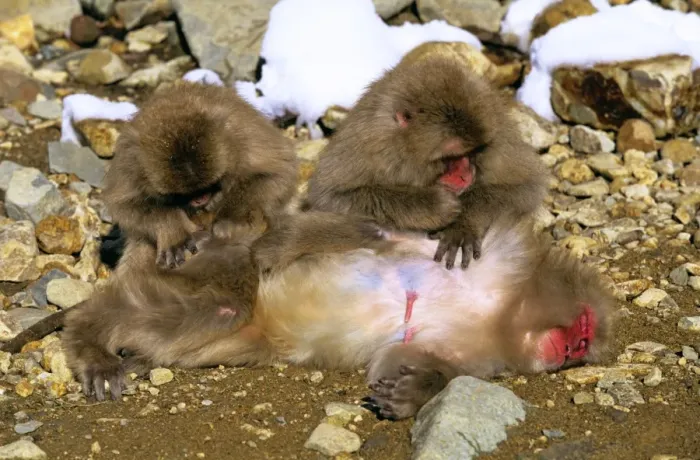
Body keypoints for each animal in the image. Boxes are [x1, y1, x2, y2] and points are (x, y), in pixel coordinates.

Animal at [61, 212, 614, 420]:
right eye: (583, 333)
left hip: (240, 334)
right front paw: (279, 245)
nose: (569, 351)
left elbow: (408, 357)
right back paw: (90, 343)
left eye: (582, 347)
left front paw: (410, 391)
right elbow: (380, 235)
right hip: (209, 269)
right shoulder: (499, 252)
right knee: (206, 300)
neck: (501, 307)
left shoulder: (480, 353)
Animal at [102, 81, 299, 269]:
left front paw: (228, 221)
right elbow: (125, 206)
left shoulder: (241, 134)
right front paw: (175, 234)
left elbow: (279, 172)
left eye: (210, 185)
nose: (200, 199)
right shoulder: (131, 162)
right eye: (181, 195)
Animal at [304, 54, 549, 270]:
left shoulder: (497, 133)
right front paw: (433, 206)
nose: (465, 176)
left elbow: (527, 187)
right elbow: (329, 197)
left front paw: (462, 225)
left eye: (474, 151)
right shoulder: (368, 142)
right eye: (450, 157)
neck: (410, 150)